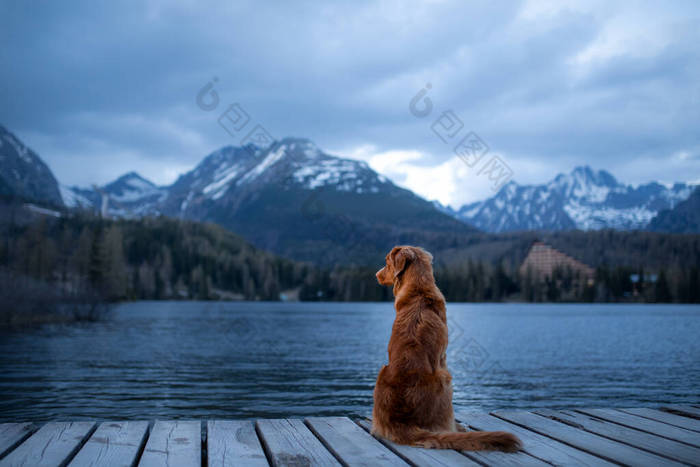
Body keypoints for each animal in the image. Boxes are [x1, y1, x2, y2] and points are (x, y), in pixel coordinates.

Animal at [372, 247, 520, 452]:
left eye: (386, 262)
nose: (376, 275)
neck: (418, 290)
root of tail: (401, 421)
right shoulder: (442, 358)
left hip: (382, 372)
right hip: (445, 379)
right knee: (444, 425)